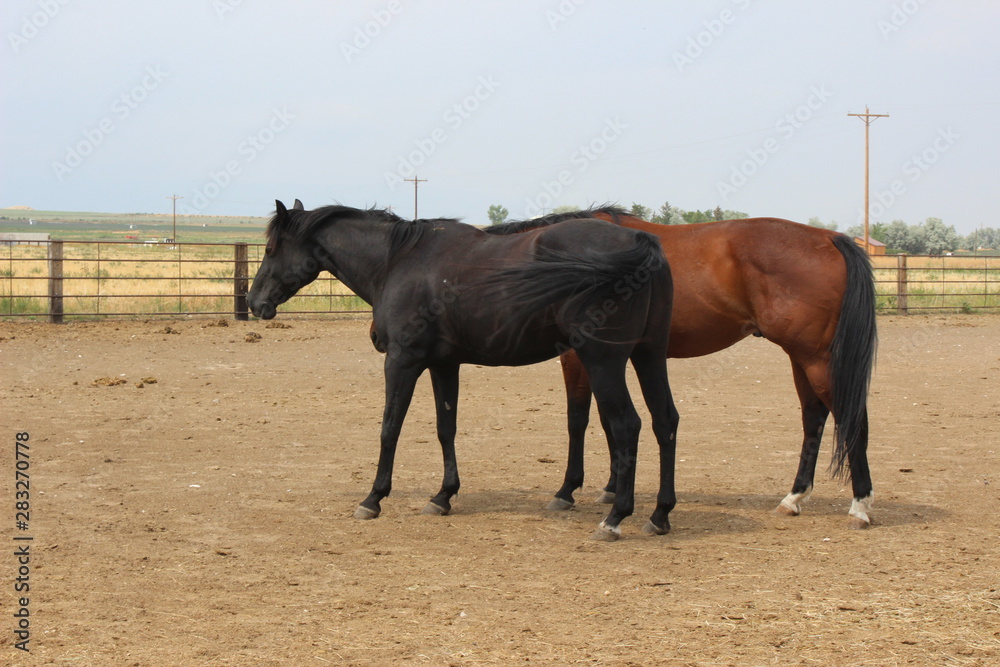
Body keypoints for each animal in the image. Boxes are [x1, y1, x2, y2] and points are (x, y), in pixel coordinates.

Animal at [247, 200, 679, 540]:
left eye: (270, 248)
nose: (253, 302)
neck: (398, 261)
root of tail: (639, 243)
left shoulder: (402, 361)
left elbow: (390, 428)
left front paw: (373, 498)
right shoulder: (444, 365)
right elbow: (446, 428)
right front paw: (443, 496)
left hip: (604, 361)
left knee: (627, 425)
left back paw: (615, 517)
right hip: (649, 356)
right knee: (665, 421)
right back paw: (659, 515)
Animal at [486, 207, 877, 529]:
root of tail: (828, 237)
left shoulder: (578, 357)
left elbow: (578, 420)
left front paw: (567, 490)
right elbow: (608, 422)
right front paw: (611, 488)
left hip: (815, 358)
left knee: (851, 417)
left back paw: (860, 505)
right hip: (803, 358)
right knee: (814, 416)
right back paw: (794, 497)